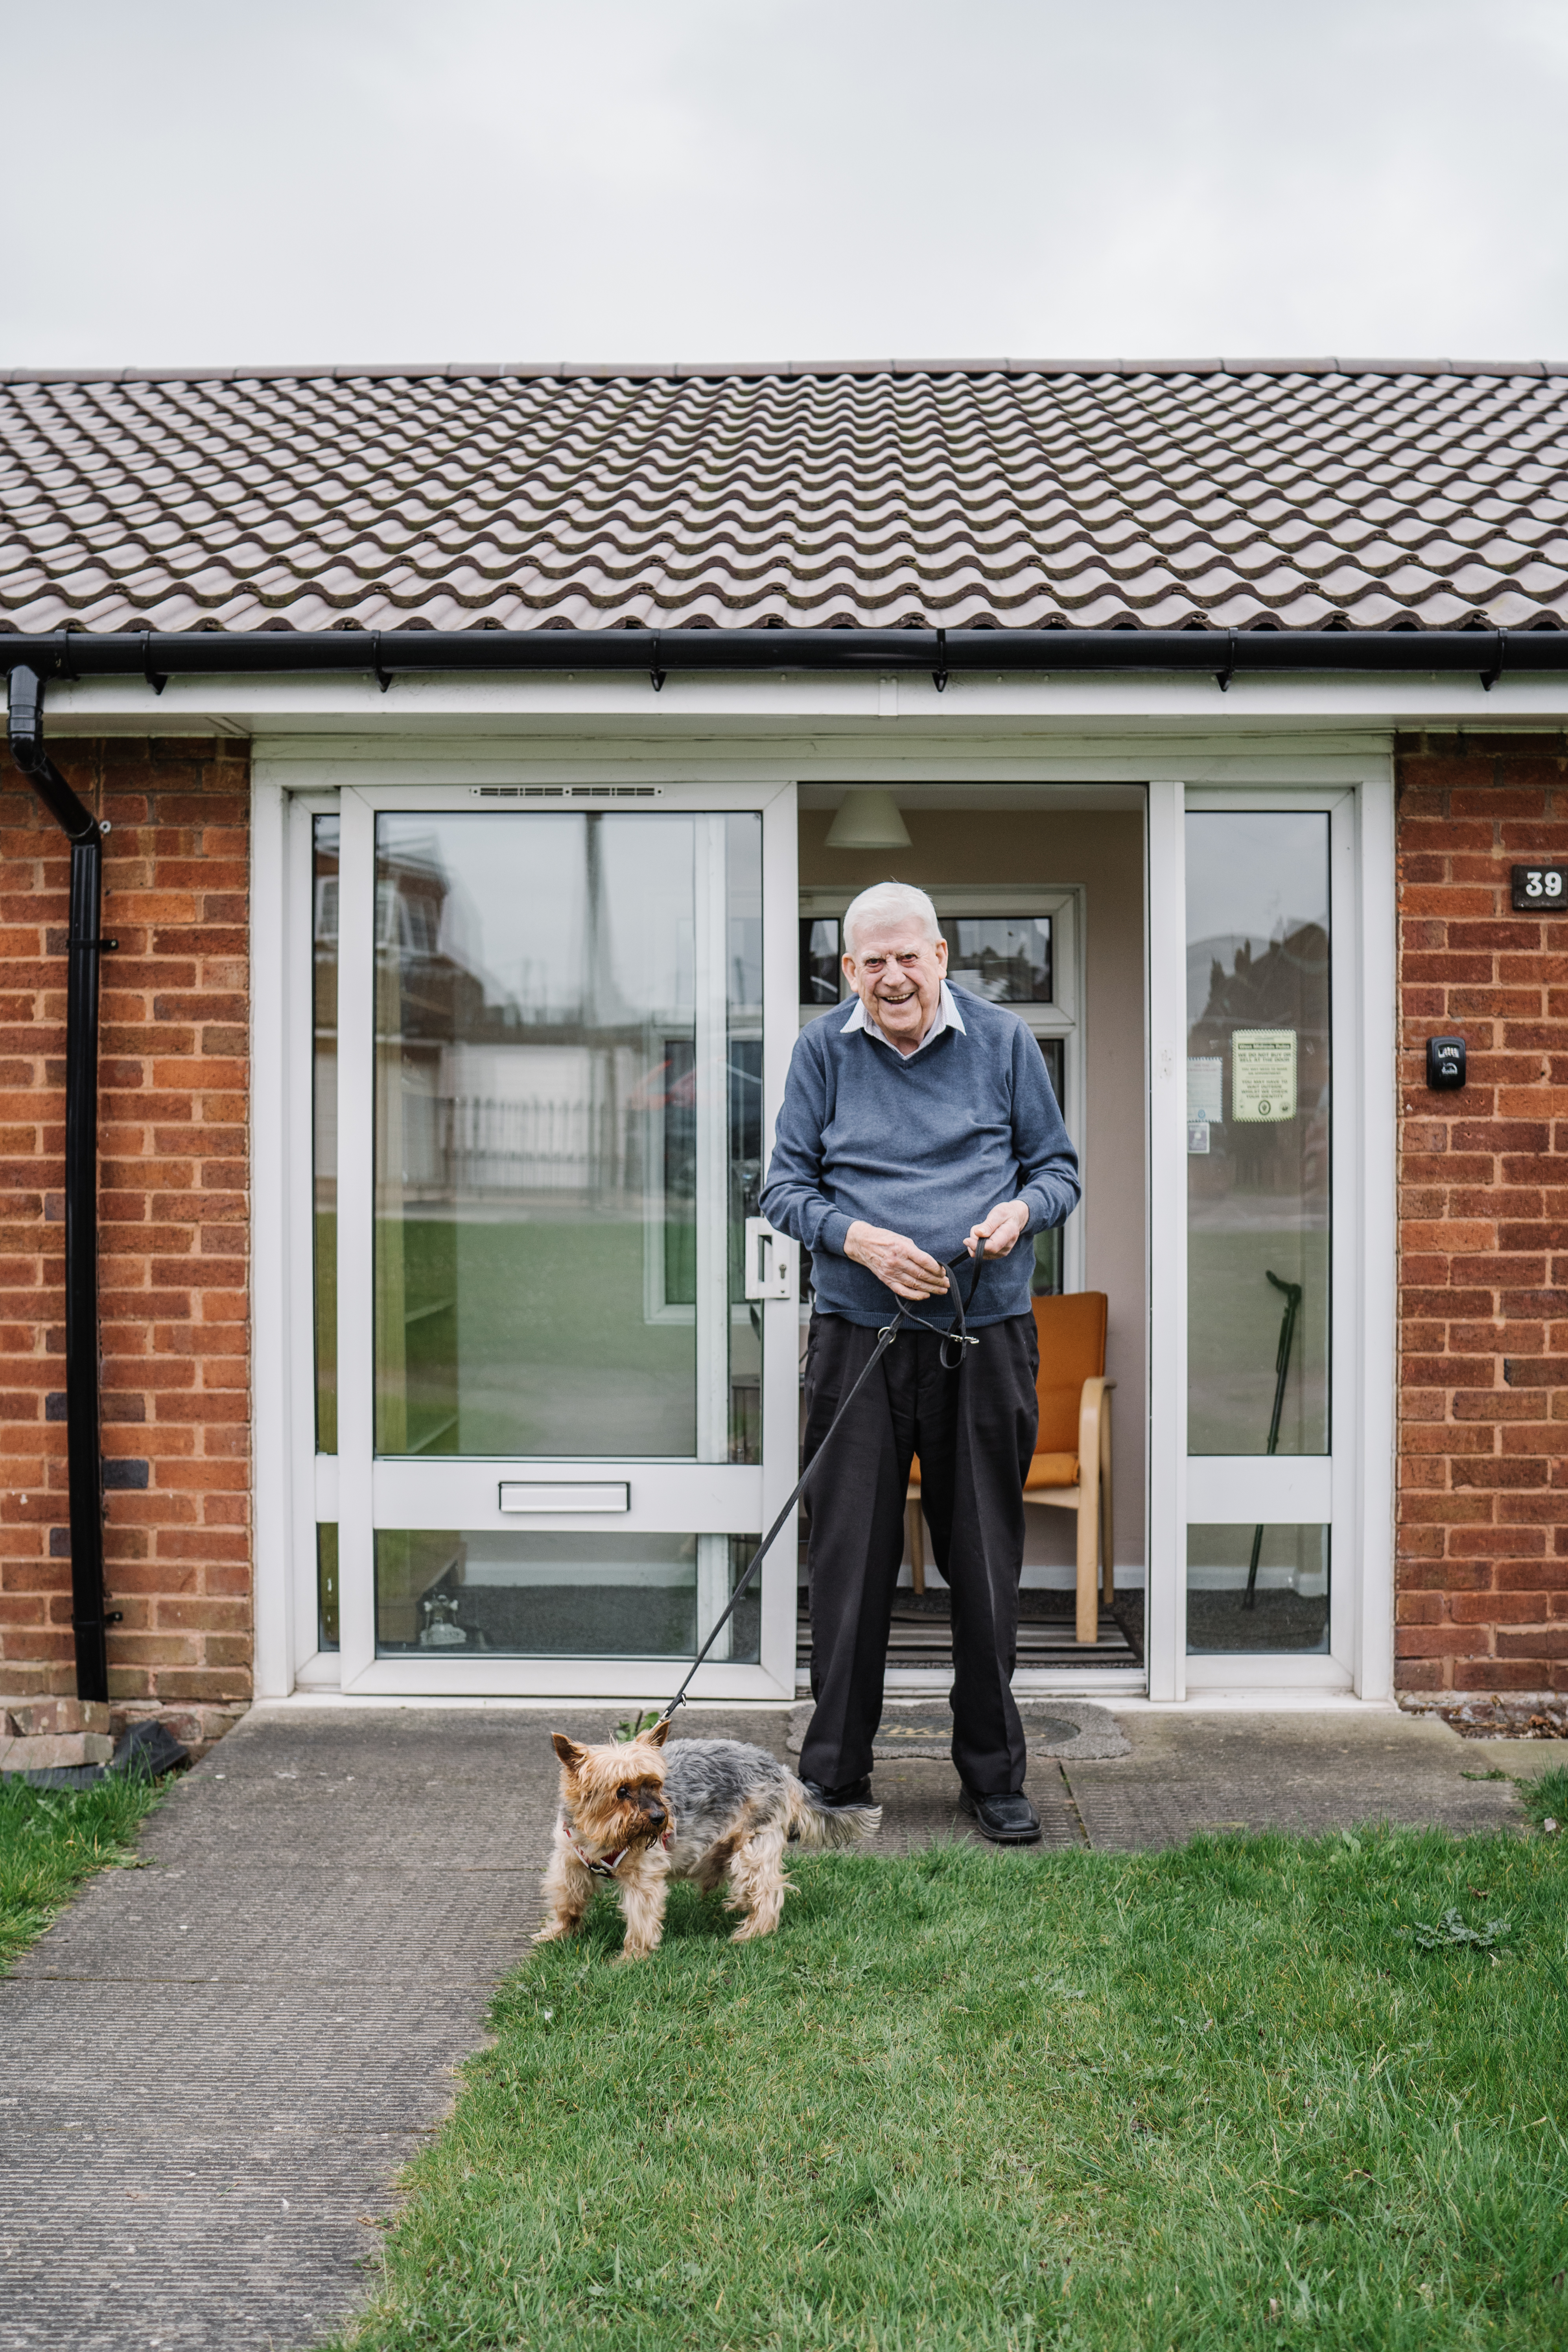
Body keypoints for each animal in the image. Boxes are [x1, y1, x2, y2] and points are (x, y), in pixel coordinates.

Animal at [536, 1722, 884, 1957]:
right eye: (621, 1791)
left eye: (656, 1784)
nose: (660, 1818)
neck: (604, 1834)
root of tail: (783, 1771)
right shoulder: (570, 1860)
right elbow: (567, 1900)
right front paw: (557, 1933)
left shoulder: (643, 1877)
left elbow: (641, 1918)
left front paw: (631, 1958)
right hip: (733, 1846)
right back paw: (738, 1905)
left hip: (754, 1843)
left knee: (767, 1891)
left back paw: (752, 1932)